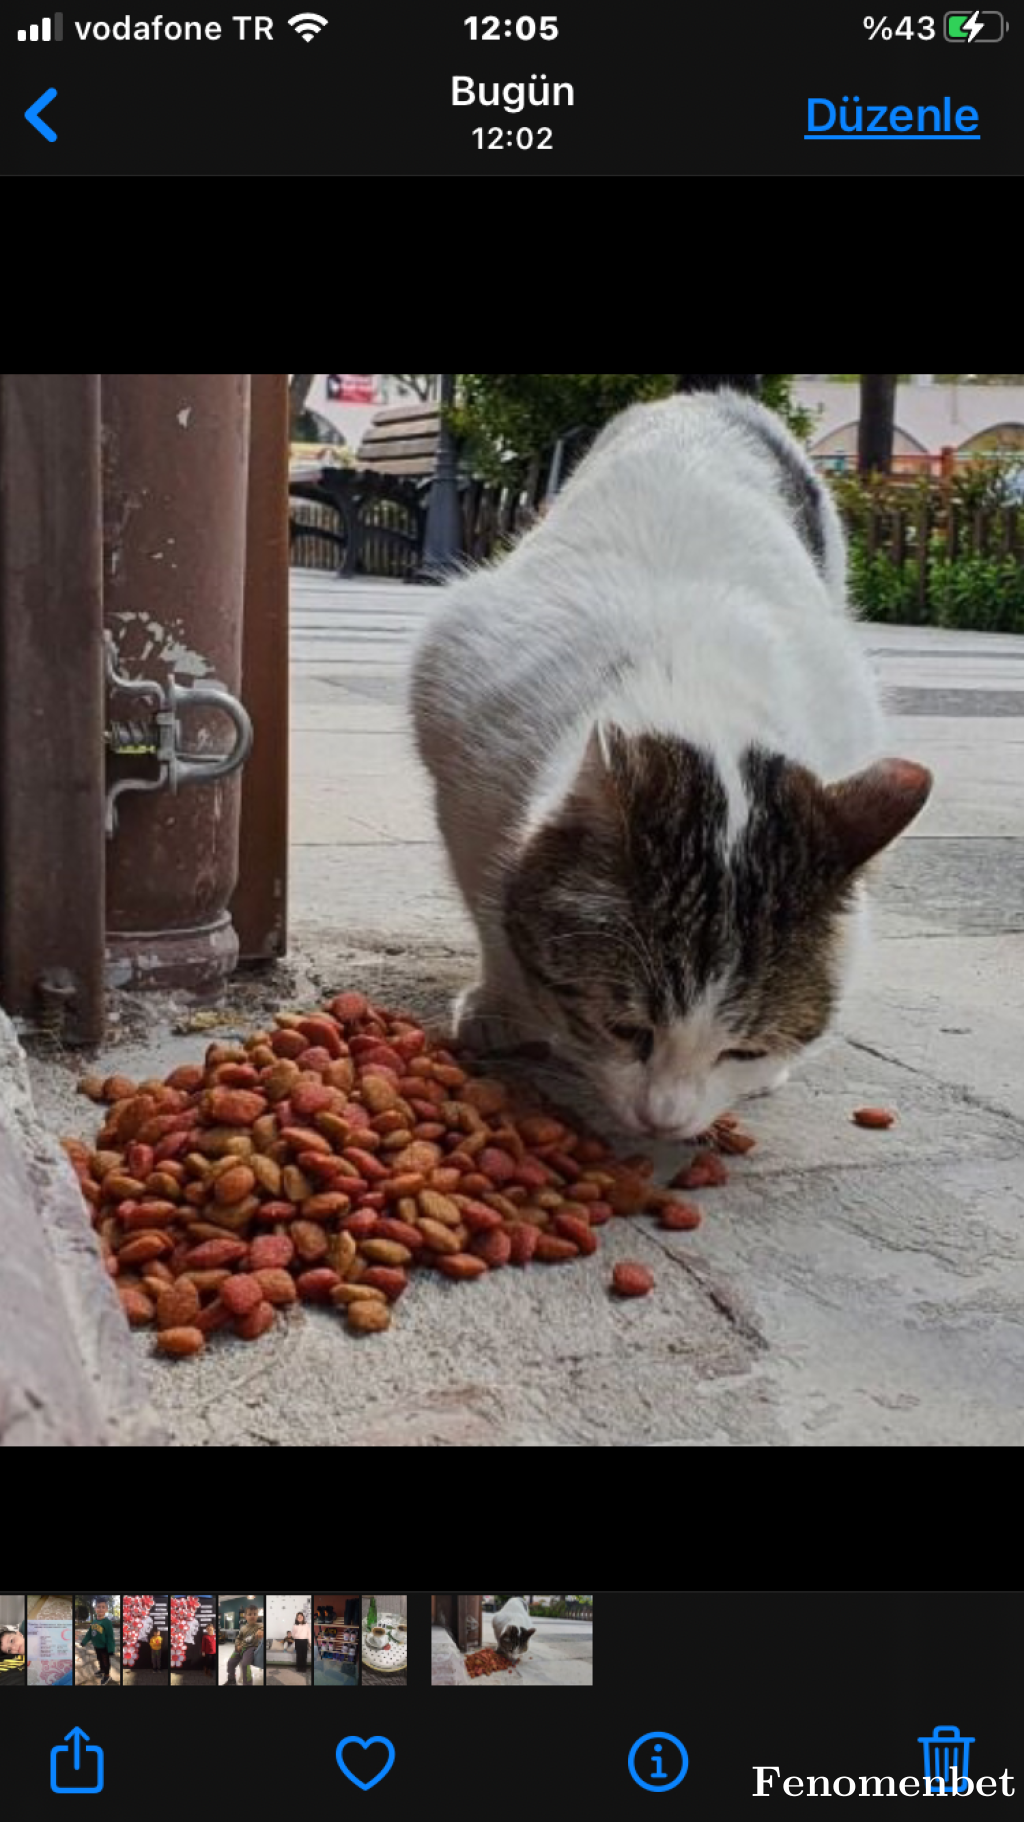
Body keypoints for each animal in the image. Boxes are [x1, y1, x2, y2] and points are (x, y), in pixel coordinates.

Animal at [409, 395, 929, 1136]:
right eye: (626, 1029)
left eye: (742, 1050)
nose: (665, 1120)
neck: (702, 688)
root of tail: (711, 397)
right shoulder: (466, 761)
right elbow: (490, 898)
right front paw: (502, 1003)